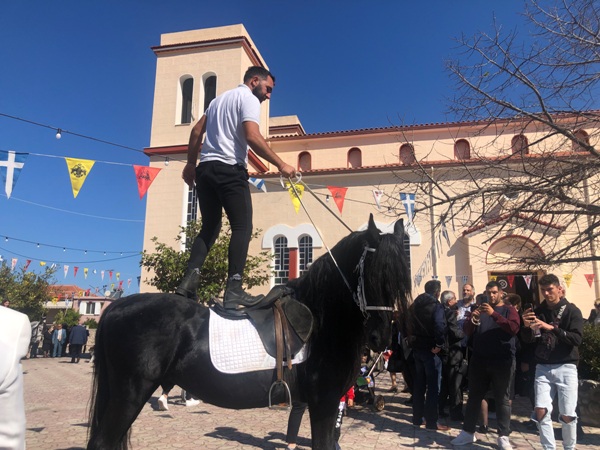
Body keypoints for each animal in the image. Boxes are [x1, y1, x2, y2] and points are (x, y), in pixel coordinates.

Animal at [86, 215, 412, 450]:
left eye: (400, 280)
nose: (380, 337)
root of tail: (116, 308)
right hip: (129, 393)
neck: (322, 321)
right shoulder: (324, 403)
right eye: (372, 275)